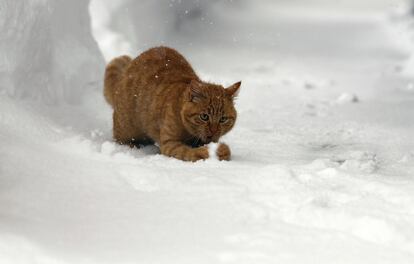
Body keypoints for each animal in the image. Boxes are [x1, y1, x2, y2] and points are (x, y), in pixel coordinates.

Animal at [103, 46, 241, 162]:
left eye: (223, 119)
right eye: (204, 117)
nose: (214, 131)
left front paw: (222, 151)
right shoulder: (169, 143)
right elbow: (186, 151)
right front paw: (203, 152)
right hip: (127, 129)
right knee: (121, 139)